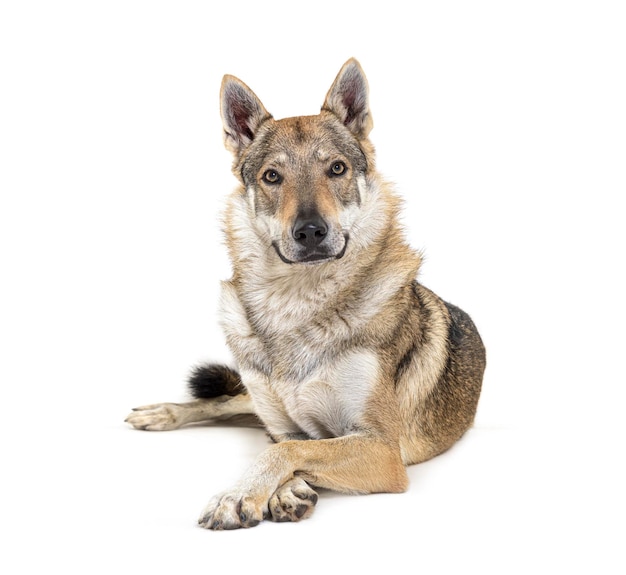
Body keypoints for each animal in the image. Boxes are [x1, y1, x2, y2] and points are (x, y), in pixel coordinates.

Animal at [124, 58, 486, 532]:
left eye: (337, 169)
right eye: (272, 176)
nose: (311, 231)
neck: (297, 302)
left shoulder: (382, 449)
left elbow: (289, 451)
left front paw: (244, 495)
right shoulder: (285, 424)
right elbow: (286, 444)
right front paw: (279, 492)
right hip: (251, 397)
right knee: (221, 401)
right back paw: (161, 413)